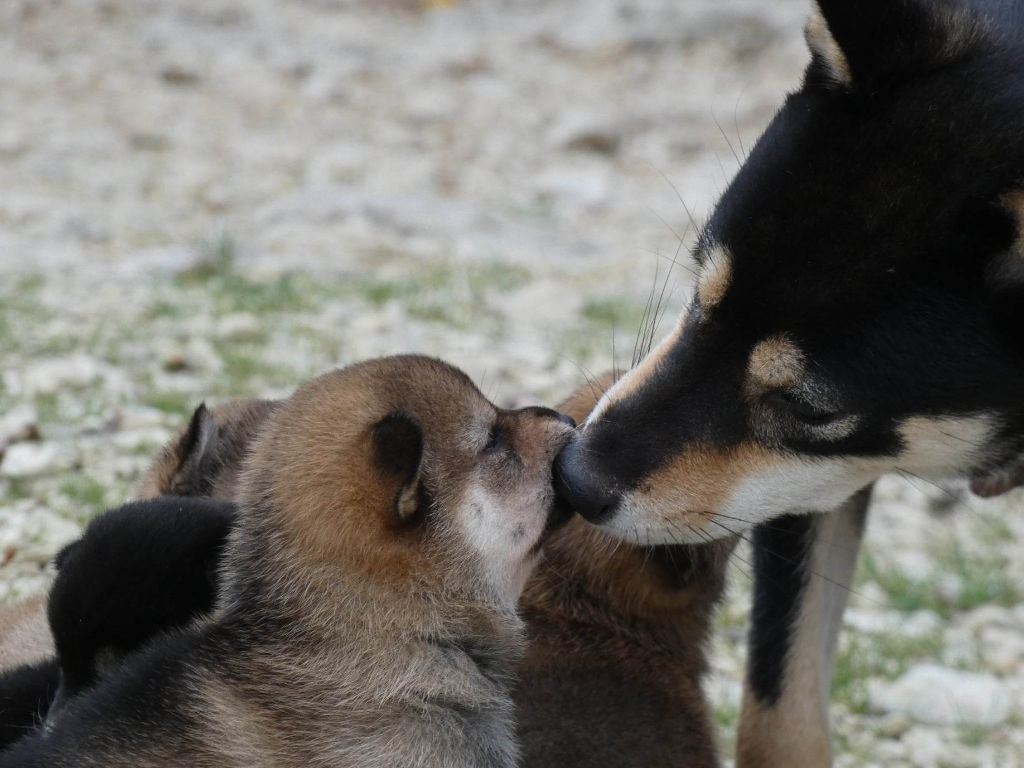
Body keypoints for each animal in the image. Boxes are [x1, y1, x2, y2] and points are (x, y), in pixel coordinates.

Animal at [557, 3, 1024, 765]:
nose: (573, 479)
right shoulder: (801, 487)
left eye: (809, 409)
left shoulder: (805, 465)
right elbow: (781, 720)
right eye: (701, 293)